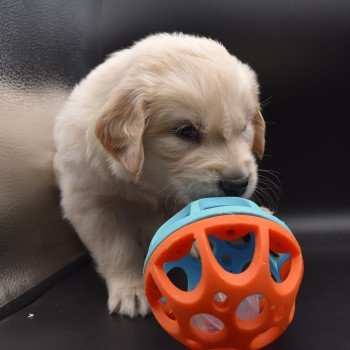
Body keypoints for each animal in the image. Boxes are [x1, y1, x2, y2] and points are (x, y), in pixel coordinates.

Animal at [53, 32, 264, 318]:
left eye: (244, 128)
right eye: (186, 131)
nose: (238, 184)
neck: (147, 180)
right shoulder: (90, 203)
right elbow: (116, 248)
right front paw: (130, 290)